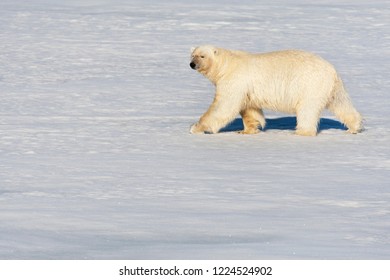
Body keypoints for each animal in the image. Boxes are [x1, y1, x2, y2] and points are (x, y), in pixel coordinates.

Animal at [189, 45, 362, 136]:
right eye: (192, 55)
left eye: (202, 56)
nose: (192, 64)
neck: (226, 66)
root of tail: (331, 70)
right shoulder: (247, 89)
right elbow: (250, 110)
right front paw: (247, 130)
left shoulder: (235, 80)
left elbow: (224, 106)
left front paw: (196, 127)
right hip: (331, 88)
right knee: (341, 104)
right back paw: (354, 127)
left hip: (310, 85)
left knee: (307, 109)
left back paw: (301, 131)